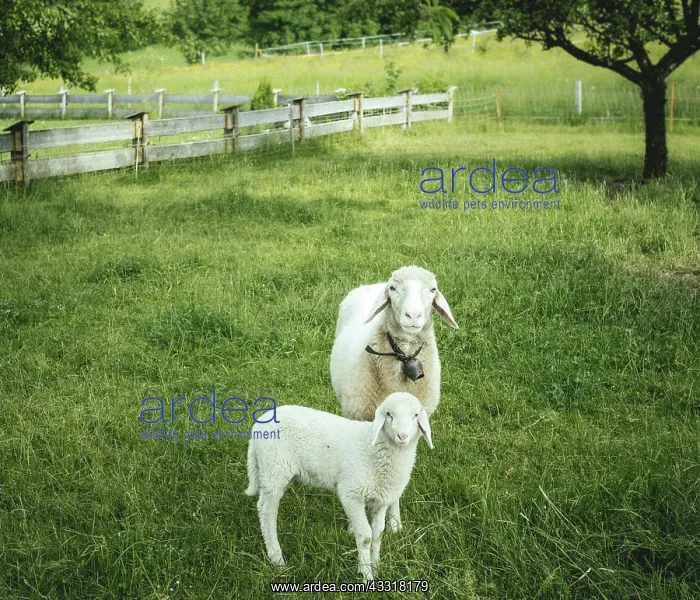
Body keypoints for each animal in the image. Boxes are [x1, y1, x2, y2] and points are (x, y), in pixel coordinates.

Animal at [245, 392, 433, 581]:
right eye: (389, 415)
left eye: (415, 415)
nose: (402, 436)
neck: (373, 449)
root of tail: (258, 425)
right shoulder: (351, 494)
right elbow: (365, 537)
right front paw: (366, 576)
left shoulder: (380, 501)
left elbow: (377, 534)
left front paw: (376, 567)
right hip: (274, 470)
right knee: (266, 511)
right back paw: (277, 559)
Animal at [330, 265, 458, 532]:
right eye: (393, 289)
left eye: (432, 290)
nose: (413, 315)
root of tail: (372, 283)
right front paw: (355, 523)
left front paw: (394, 522)